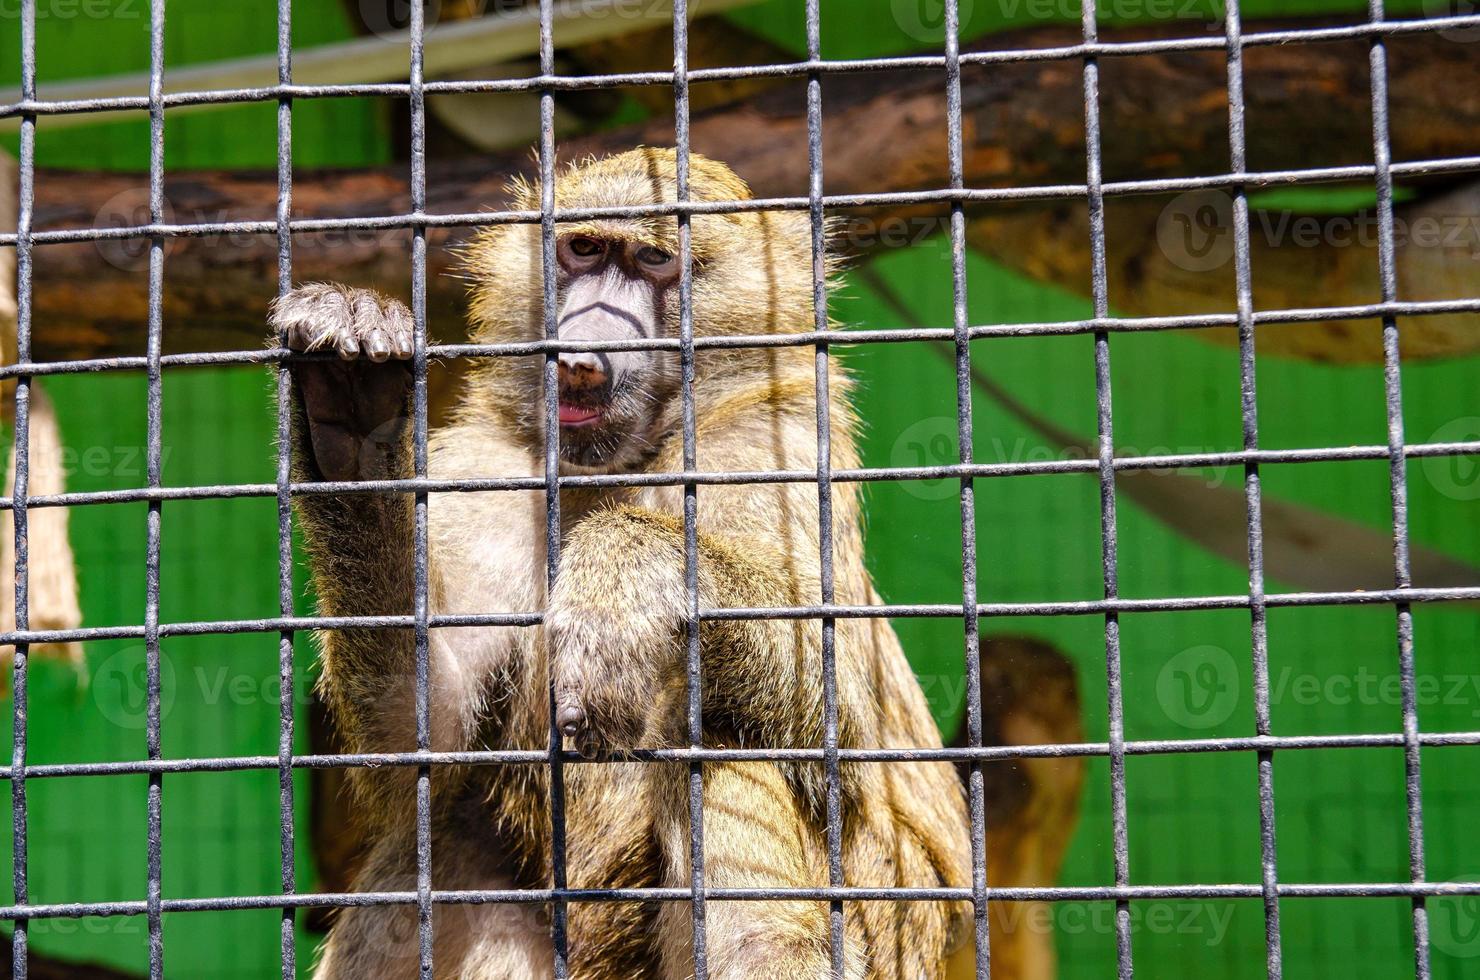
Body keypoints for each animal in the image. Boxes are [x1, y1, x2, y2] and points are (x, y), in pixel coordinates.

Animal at [273, 148, 976, 980]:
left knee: (714, 725)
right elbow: (422, 737)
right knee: (444, 837)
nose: (584, 351)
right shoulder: (491, 471)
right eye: (583, 250)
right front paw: (353, 416)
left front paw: (619, 577)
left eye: (653, 260)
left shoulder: (775, 443)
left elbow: (838, 715)